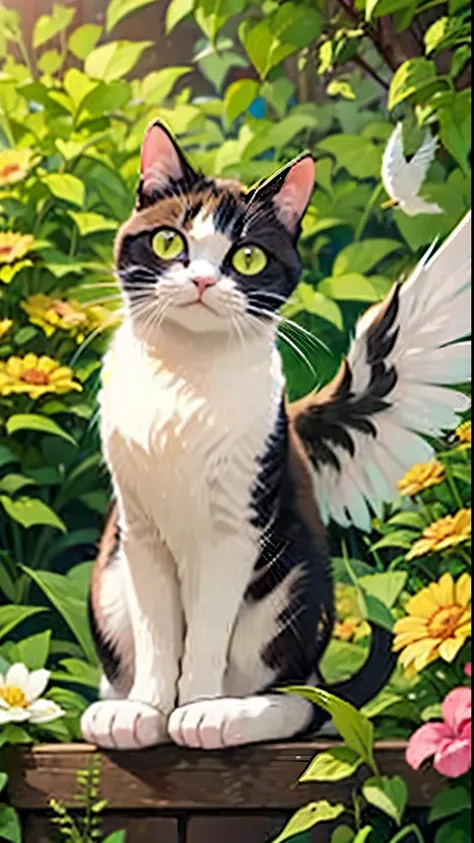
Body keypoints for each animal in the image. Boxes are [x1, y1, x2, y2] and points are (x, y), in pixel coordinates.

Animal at [80, 120, 470, 752]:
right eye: (168, 242)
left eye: (247, 256)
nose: (202, 279)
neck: (186, 379)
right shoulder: (140, 531)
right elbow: (160, 634)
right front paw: (148, 711)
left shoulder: (236, 528)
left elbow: (207, 634)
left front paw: (196, 711)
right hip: (111, 576)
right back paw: (116, 707)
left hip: (293, 582)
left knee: (303, 701)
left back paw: (233, 715)